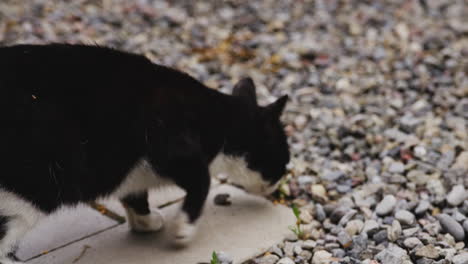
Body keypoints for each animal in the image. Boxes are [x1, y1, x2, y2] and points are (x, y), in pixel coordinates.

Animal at [0, 43, 290, 264]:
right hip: (32, 192)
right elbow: (202, 181)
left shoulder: (133, 171)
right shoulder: (167, 140)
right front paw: (183, 228)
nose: (277, 187)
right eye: (284, 161)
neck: (219, 120)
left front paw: (145, 221)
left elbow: (135, 194)